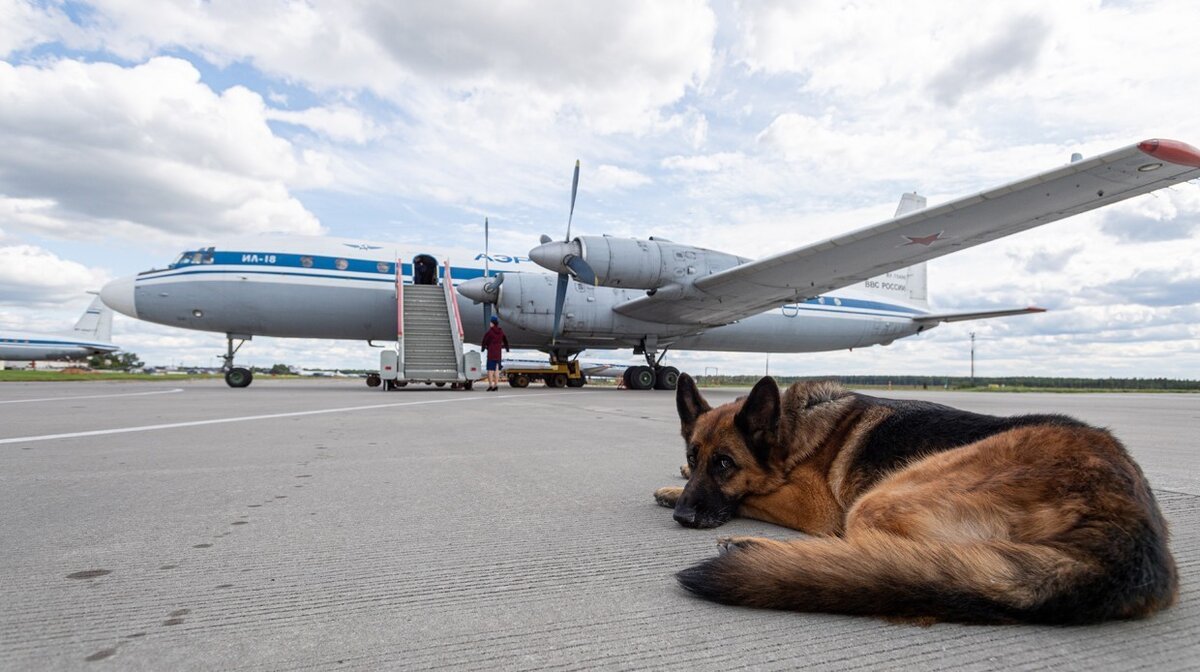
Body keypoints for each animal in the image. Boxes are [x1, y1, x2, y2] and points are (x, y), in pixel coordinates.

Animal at [652, 374, 1176, 624]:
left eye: (725, 465)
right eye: (694, 454)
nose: (683, 516)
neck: (792, 430)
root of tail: (1129, 522)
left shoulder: (813, 505)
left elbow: (751, 497)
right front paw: (674, 482)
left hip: (880, 499)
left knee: (867, 553)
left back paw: (753, 548)